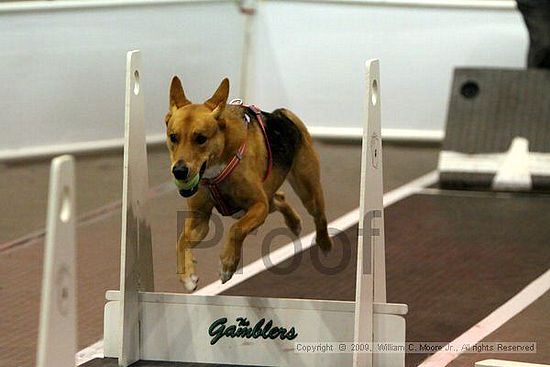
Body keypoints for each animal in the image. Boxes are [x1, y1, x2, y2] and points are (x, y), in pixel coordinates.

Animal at [166, 77, 334, 294]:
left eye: (201, 138)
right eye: (173, 137)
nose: (179, 171)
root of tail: (281, 115)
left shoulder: (258, 205)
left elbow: (236, 229)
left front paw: (228, 264)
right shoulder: (199, 219)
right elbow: (181, 241)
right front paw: (187, 275)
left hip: (307, 188)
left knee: (319, 215)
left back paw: (324, 242)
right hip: (268, 200)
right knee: (279, 198)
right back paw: (294, 222)